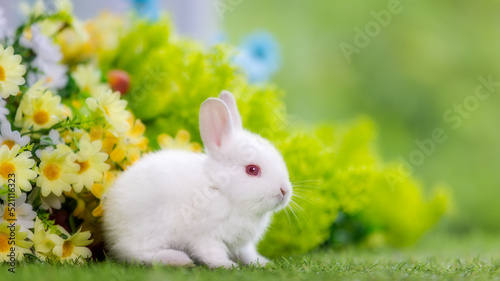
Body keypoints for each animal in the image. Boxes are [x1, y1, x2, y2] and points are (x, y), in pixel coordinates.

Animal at [102, 90, 292, 266]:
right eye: (252, 170)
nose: (284, 191)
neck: (220, 189)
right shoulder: (206, 236)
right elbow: (212, 253)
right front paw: (227, 265)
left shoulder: (242, 244)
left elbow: (248, 254)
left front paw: (264, 263)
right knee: (135, 254)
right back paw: (178, 260)